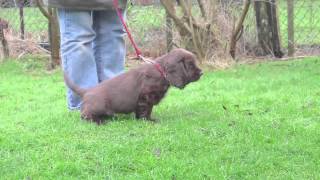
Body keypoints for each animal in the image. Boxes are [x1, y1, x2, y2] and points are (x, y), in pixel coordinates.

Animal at [63, 48, 201, 124]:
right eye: (190, 65)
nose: (202, 72)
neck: (161, 72)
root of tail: (87, 91)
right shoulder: (145, 97)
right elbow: (145, 111)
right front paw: (147, 121)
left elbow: (148, 110)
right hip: (98, 106)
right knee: (85, 115)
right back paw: (99, 121)